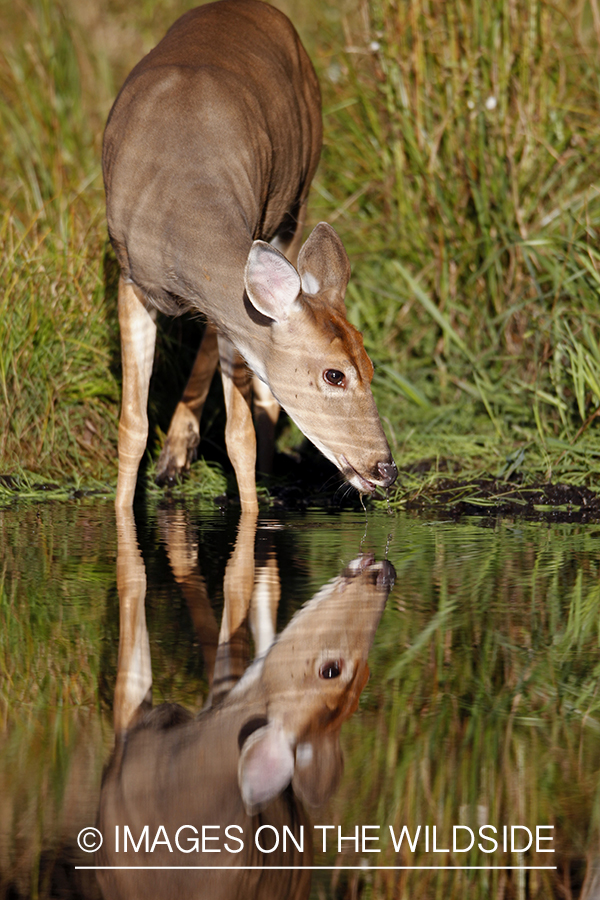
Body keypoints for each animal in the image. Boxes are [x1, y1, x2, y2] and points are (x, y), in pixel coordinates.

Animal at [101, 0, 396, 510]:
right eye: (335, 375)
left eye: (371, 366)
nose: (385, 468)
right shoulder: (131, 276)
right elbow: (132, 427)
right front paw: (122, 513)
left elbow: (239, 437)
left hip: (294, 201)